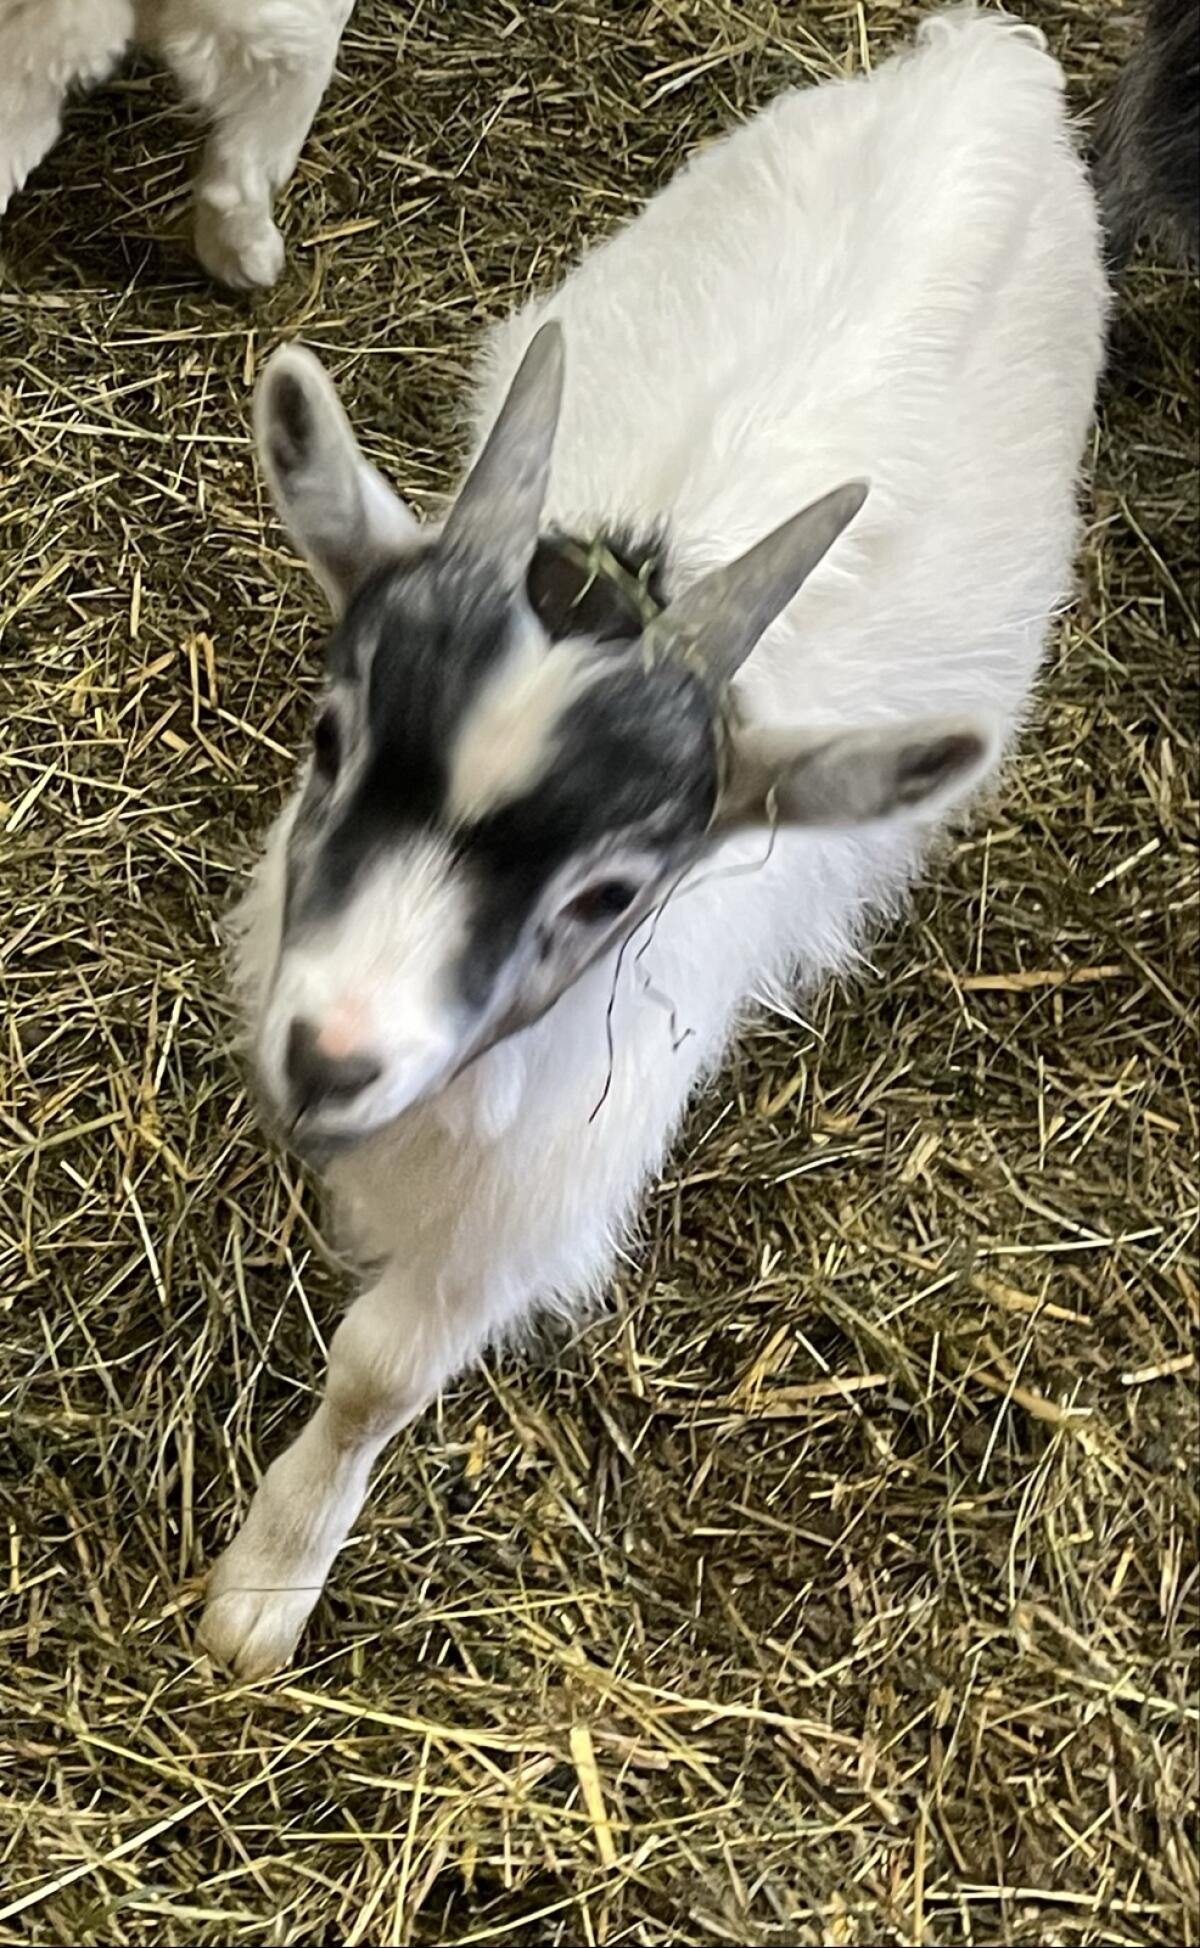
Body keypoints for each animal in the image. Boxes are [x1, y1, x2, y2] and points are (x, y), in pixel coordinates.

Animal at [198, 10, 1109, 1678]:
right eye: (330, 738)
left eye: (614, 889)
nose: (331, 1057)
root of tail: (999, 57)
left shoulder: (531, 1201)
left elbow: (377, 1373)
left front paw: (265, 1589)